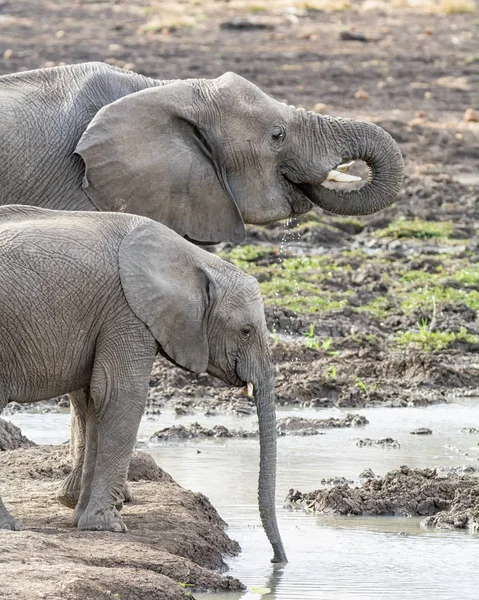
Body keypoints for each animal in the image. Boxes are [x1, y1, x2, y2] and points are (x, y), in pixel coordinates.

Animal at [0, 205, 286, 564]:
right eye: (246, 331)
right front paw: (108, 527)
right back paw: (9, 527)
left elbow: (97, 402)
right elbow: (120, 396)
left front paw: (83, 520)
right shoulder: (128, 313)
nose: (277, 560)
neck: (195, 260)